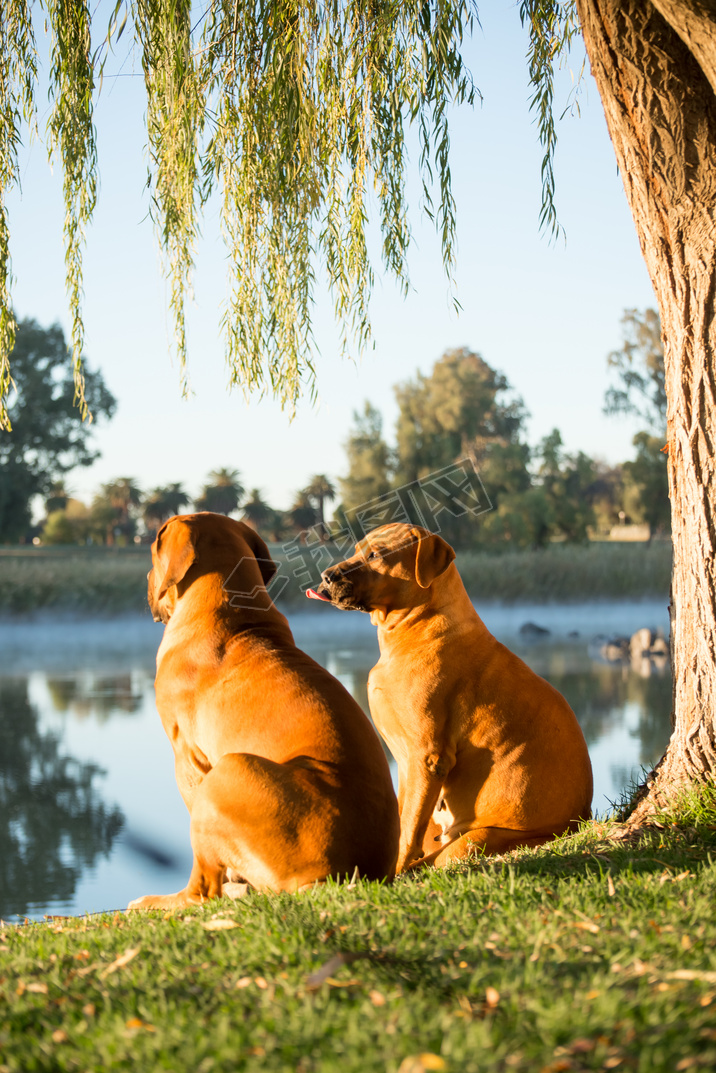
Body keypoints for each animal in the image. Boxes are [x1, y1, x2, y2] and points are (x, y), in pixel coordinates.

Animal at [127, 510, 397, 905]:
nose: (146, 579)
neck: (227, 607)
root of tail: (340, 874)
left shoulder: (186, 760)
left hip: (228, 771)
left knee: (201, 890)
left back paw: (157, 902)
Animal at [313, 521, 592, 871]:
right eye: (355, 550)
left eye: (376, 555)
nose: (326, 576)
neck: (414, 628)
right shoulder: (406, 762)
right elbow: (405, 814)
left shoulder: (427, 756)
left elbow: (410, 826)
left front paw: (396, 867)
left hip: (476, 839)